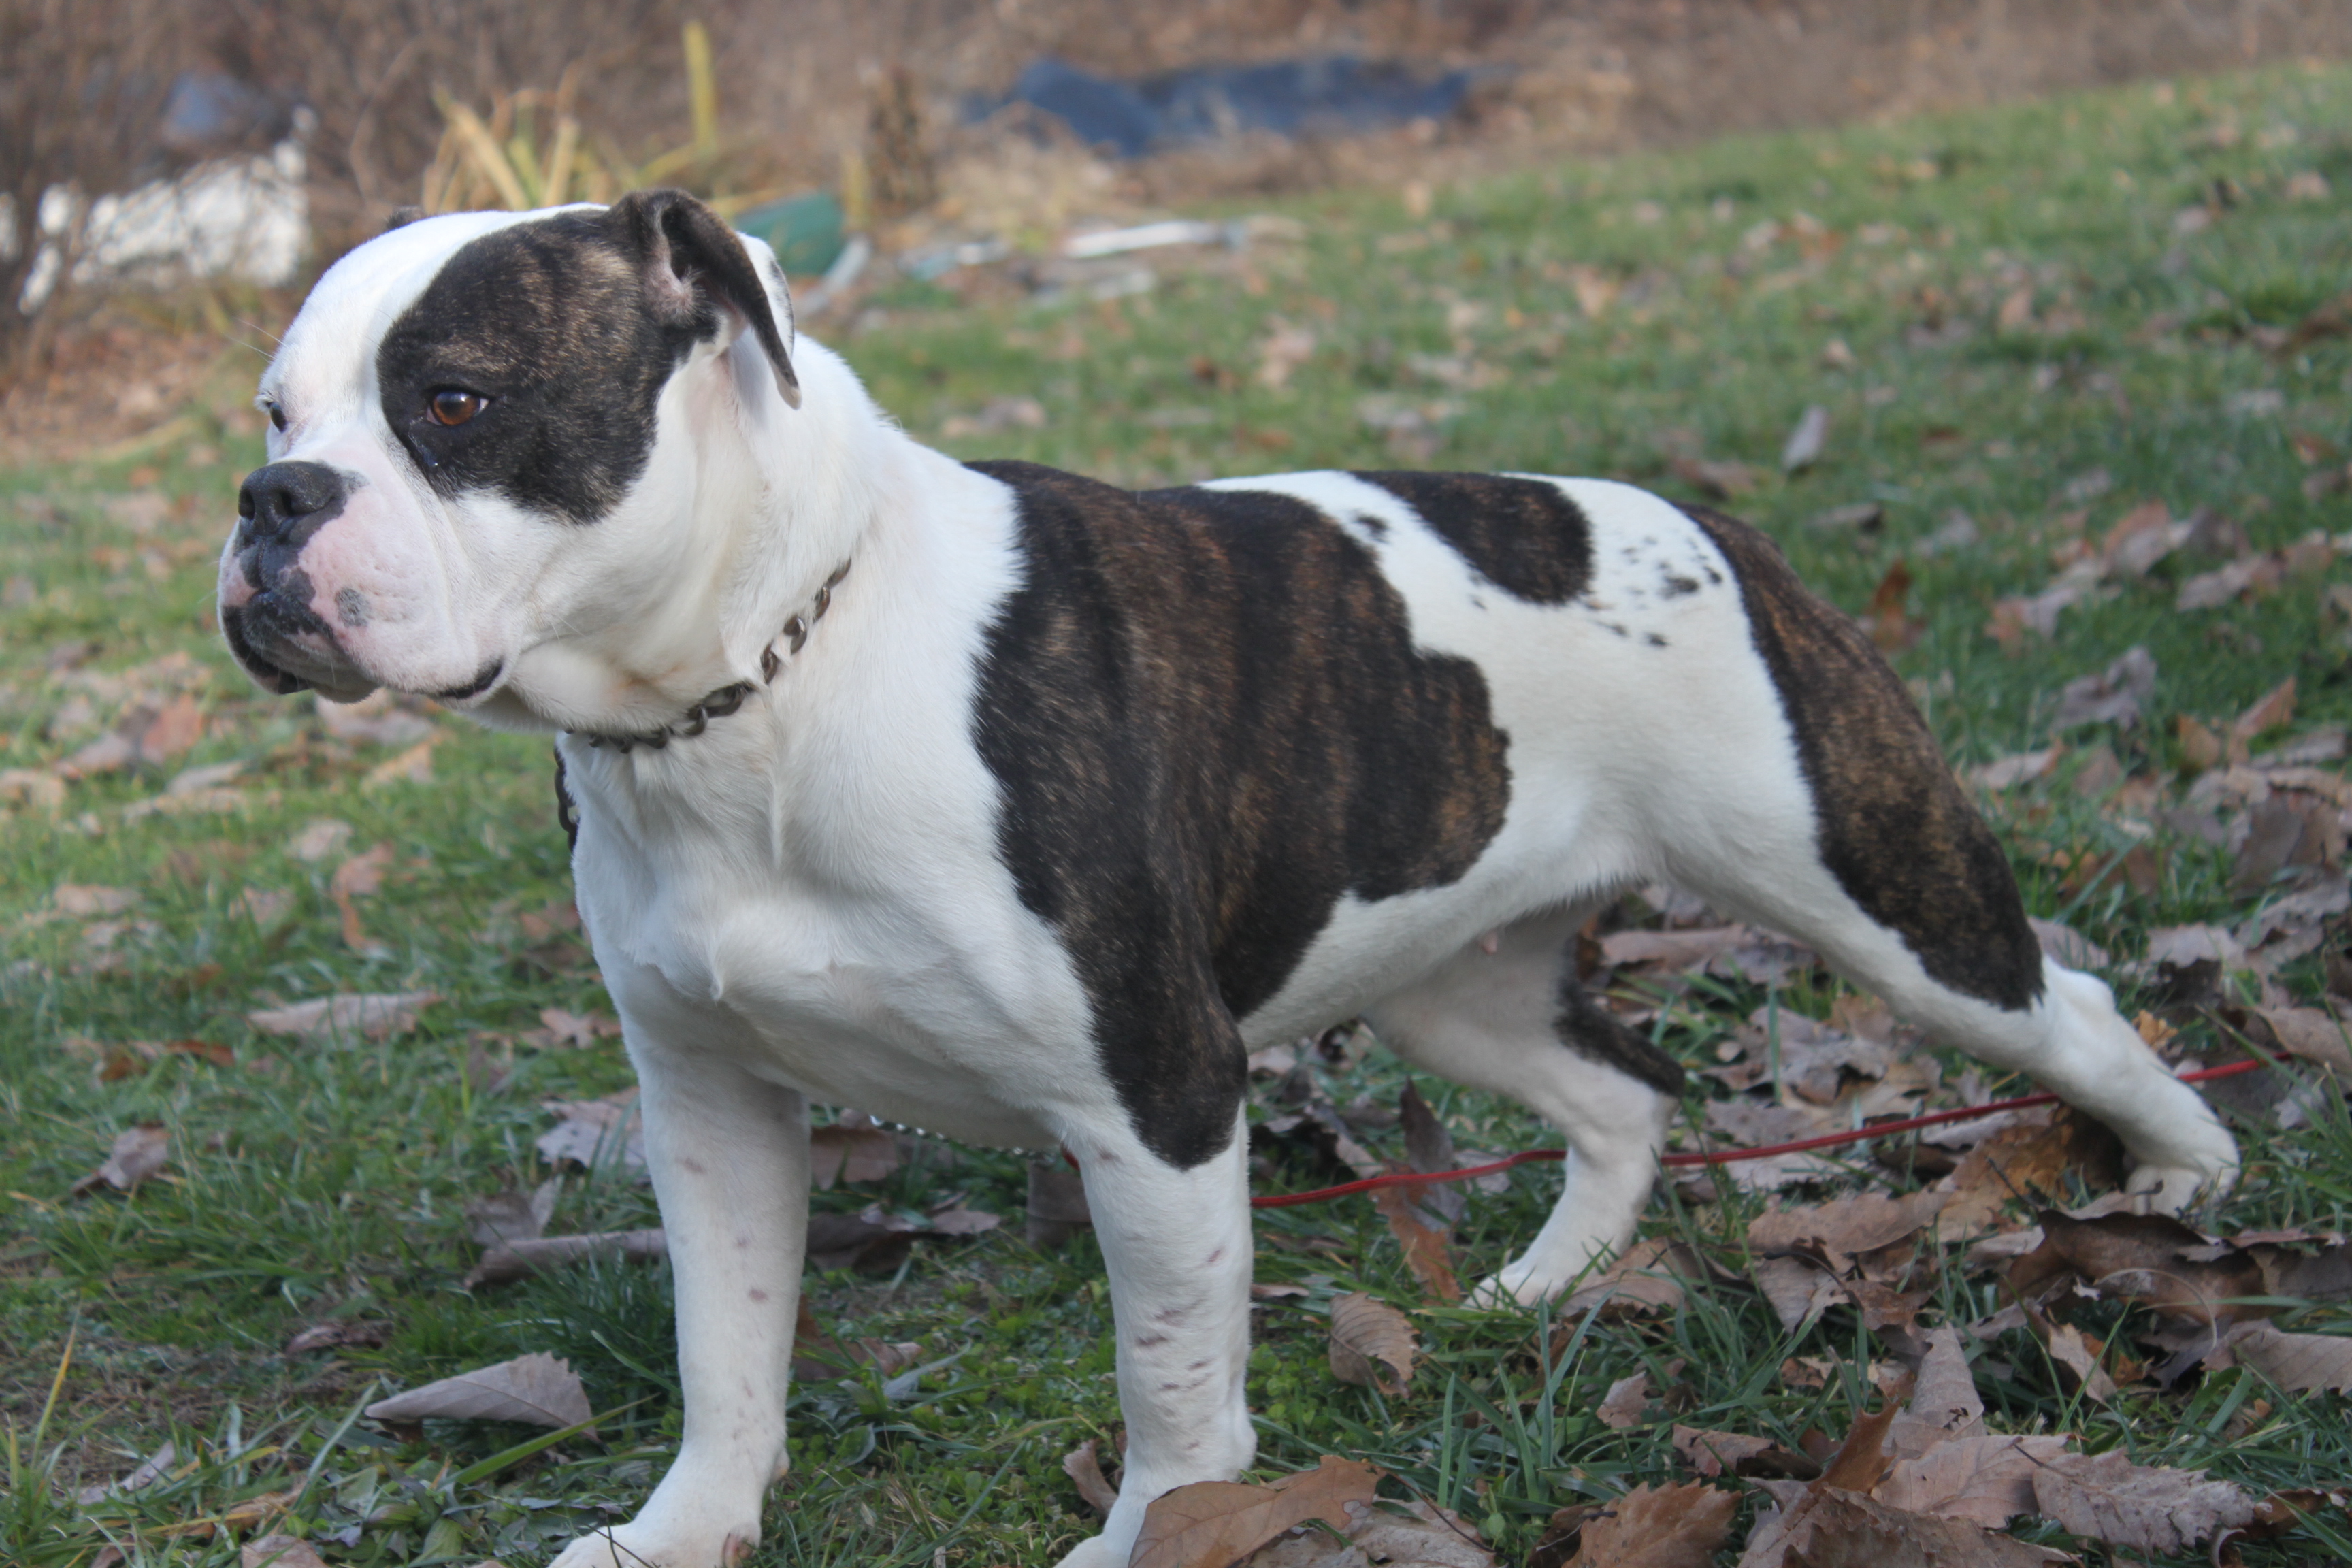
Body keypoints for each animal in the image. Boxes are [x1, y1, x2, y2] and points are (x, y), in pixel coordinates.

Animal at [220, 190, 2239, 1561]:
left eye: (455, 403)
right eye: (272, 416)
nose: (268, 510)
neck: (746, 687)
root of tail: (1695, 519)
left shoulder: (1158, 1102)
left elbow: (1171, 1383)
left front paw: (1159, 1537)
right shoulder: (708, 1104)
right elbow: (727, 1347)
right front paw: (686, 1530)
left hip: (1873, 896)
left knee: (2061, 1000)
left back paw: (2189, 1174)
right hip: (1452, 981)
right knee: (1621, 1092)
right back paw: (1542, 1283)